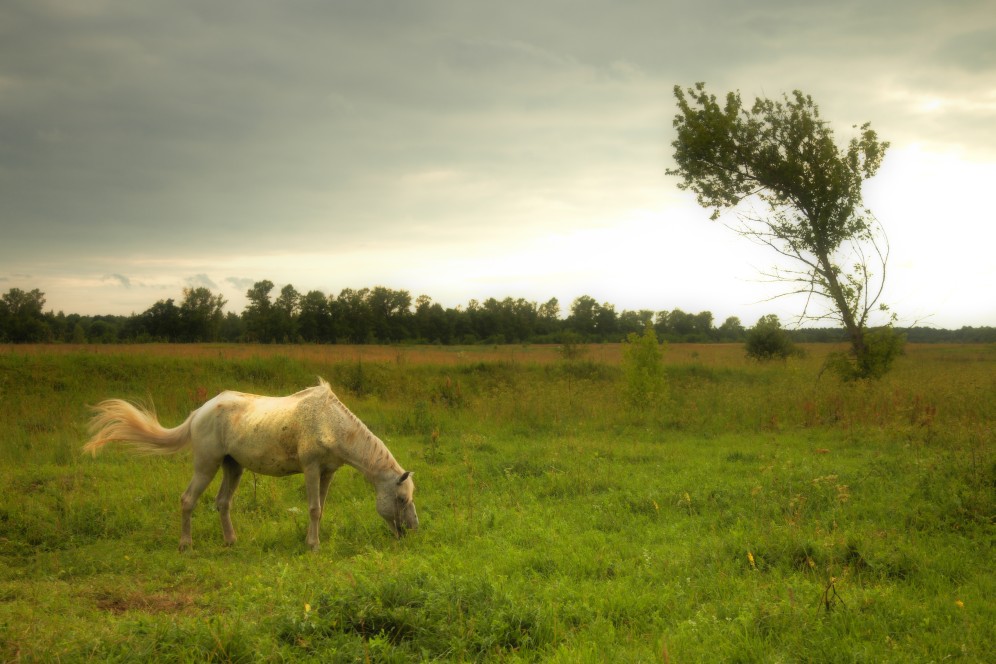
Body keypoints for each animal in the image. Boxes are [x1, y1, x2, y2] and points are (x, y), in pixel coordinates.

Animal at [80, 378, 416, 548]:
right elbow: (313, 508)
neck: (330, 422)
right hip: (207, 465)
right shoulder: (311, 469)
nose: (412, 531)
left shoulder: (327, 473)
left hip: (233, 467)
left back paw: (231, 541)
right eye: (401, 499)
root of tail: (200, 411)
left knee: (222, 502)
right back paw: (186, 545)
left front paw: (313, 541)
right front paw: (312, 546)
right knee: (188, 500)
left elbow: (320, 508)